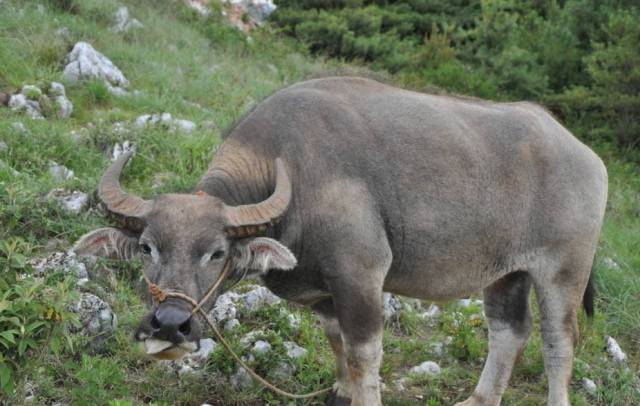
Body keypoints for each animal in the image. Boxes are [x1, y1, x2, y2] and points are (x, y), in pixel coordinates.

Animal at [74, 77, 604, 406]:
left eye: (216, 252)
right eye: (148, 247)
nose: (169, 325)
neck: (294, 175)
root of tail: (587, 156)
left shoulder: (361, 276)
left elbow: (365, 351)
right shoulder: (323, 290)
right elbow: (338, 344)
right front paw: (341, 391)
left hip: (563, 272)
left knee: (559, 342)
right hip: (506, 273)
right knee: (509, 331)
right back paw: (478, 398)